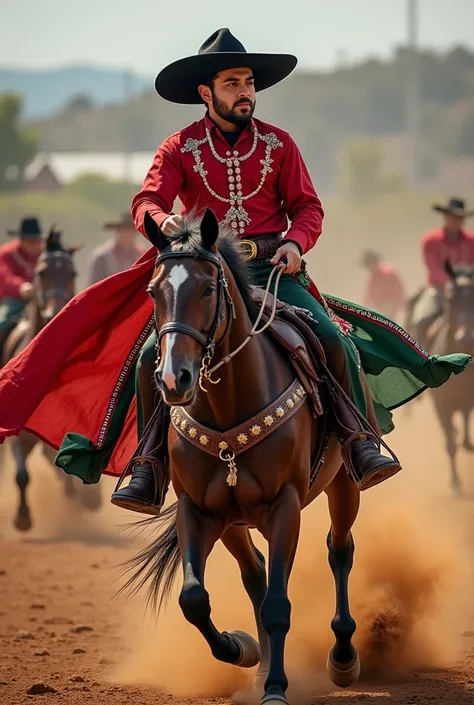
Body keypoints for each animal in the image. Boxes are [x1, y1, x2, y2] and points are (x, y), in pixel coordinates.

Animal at [1, 228, 102, 532]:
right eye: (42, 272)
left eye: (71, 272)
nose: (56, 311)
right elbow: (22, 474)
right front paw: (22, 517)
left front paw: (90, 497)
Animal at [125, 209, 366, 700]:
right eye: (153, 292)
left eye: (207, 288)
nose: (174, 378)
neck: (228, 403)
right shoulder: (198, 509)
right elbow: (194, 599)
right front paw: (242, 649)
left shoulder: (284, 505)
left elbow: (278, 603)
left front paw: (275, 687)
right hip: (234, 521)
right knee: (253, 573)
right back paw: (259, 663)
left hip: (344, 483)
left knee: (339, 550)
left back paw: (342, 656)